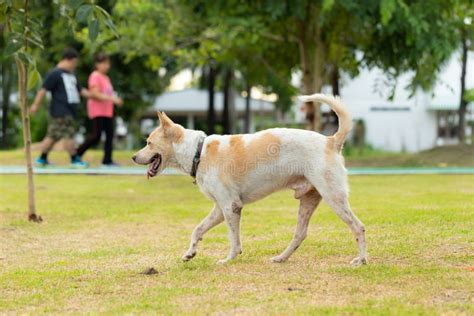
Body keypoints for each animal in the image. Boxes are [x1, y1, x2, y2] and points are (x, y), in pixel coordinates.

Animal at [131, 94, 368, 266]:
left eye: (149, 142)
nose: (133, 157)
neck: (199, 152)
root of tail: (331, 141)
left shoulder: (231, 206)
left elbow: (233, 239)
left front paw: (228, 259)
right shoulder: (219, 209)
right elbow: (198, 229)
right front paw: (190, 253)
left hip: (333, 197)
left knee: (359, 227)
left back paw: (361, 260)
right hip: (308, 200)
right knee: (300, 234)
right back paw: (281, 258)